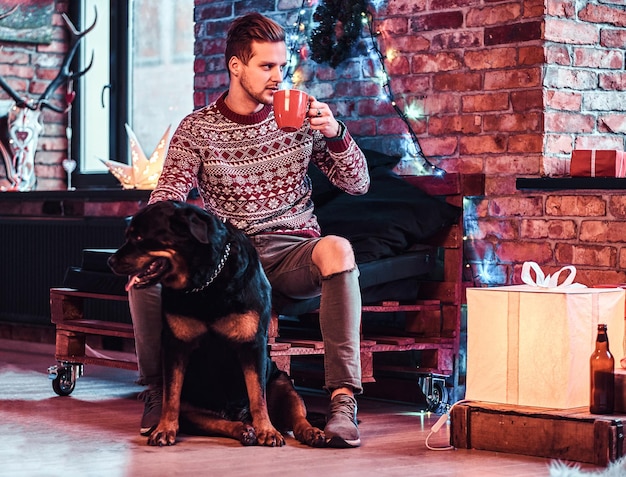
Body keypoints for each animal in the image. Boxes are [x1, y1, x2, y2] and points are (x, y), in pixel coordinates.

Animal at [106, 200, 322, 446]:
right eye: (128, 235)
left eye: (140, 238)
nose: (110, 261)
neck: (206, 282)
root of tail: (238, 414)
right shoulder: (174, 345)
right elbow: (171, 396)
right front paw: (164, 429)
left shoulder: (253, 344)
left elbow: (258, 396)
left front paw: (267, 431)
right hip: (192, 406)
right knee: (216, 421)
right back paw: (244, 430)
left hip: (282, 381)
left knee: (296, 414)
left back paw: (308, 431)